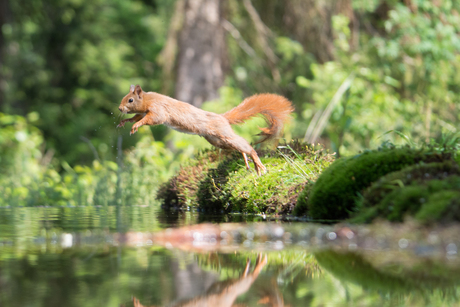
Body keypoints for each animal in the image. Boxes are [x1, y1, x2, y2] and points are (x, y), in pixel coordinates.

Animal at [117, 85, 292, 176]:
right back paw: (246, 158)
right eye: (124, 97)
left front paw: (135, 126)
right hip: (218, 140)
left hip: (223, 135)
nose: (119, 108)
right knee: (240, 144)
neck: (149, 99)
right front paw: (125, 122)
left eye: (130, 100)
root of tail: (222, 118)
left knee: (246, 145)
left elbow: (150, 119)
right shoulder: (144, 111)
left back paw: (257, 163)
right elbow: (138, 116)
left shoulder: (158, 110)